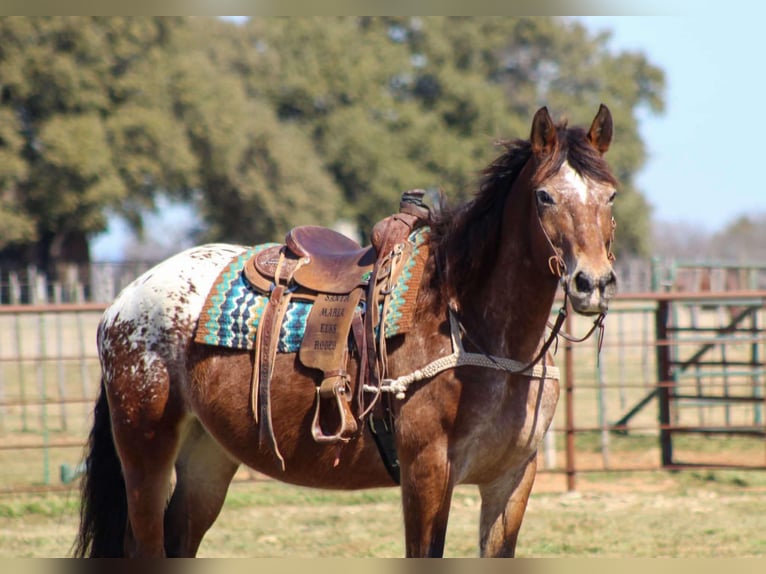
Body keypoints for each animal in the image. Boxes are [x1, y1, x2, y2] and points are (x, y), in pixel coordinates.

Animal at [74, 105, 619, 558]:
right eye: (544, 196)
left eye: (611, 195)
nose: (592, 282)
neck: (476, 328)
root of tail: (121, 304)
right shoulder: (426, 472)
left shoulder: (512, 480)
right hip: (144, 455)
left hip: (207, 458)